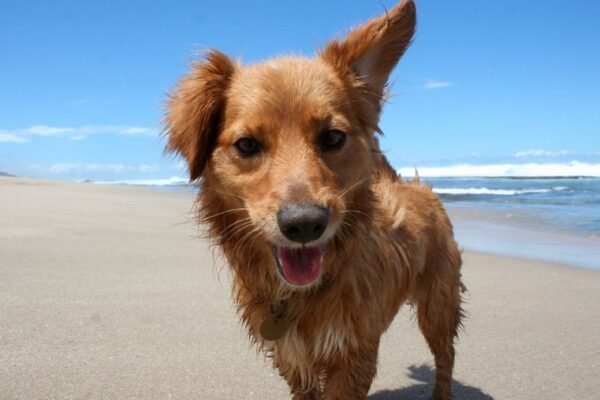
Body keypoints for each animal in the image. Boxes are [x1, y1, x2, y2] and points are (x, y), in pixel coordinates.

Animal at [163, 1, 464, 398]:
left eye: (333, 137)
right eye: (247, 145)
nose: (304, 224)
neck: (300, 295)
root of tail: (417, 188)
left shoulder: (353, 355)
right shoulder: (292, 358)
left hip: (438, 305)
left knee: (445, 359)